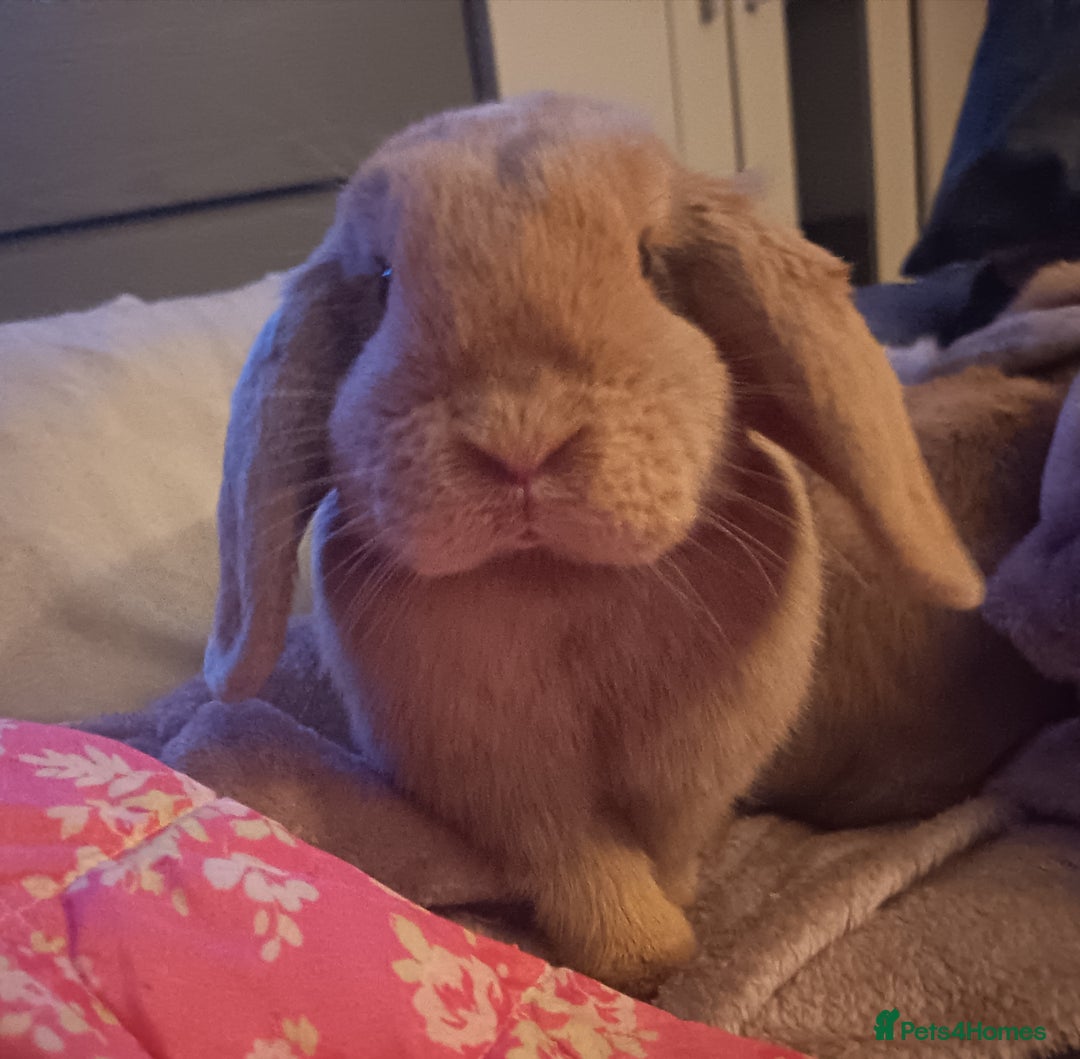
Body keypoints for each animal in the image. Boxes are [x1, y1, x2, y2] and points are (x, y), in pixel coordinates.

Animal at [204, 93, 983, 992]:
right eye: (386, 283)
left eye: (650, 264)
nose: (521, 441)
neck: (556, 581)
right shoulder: (510, 785)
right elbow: (579, 861)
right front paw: (640, 954)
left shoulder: (686, 773)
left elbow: (667, 847)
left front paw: (665, 930)